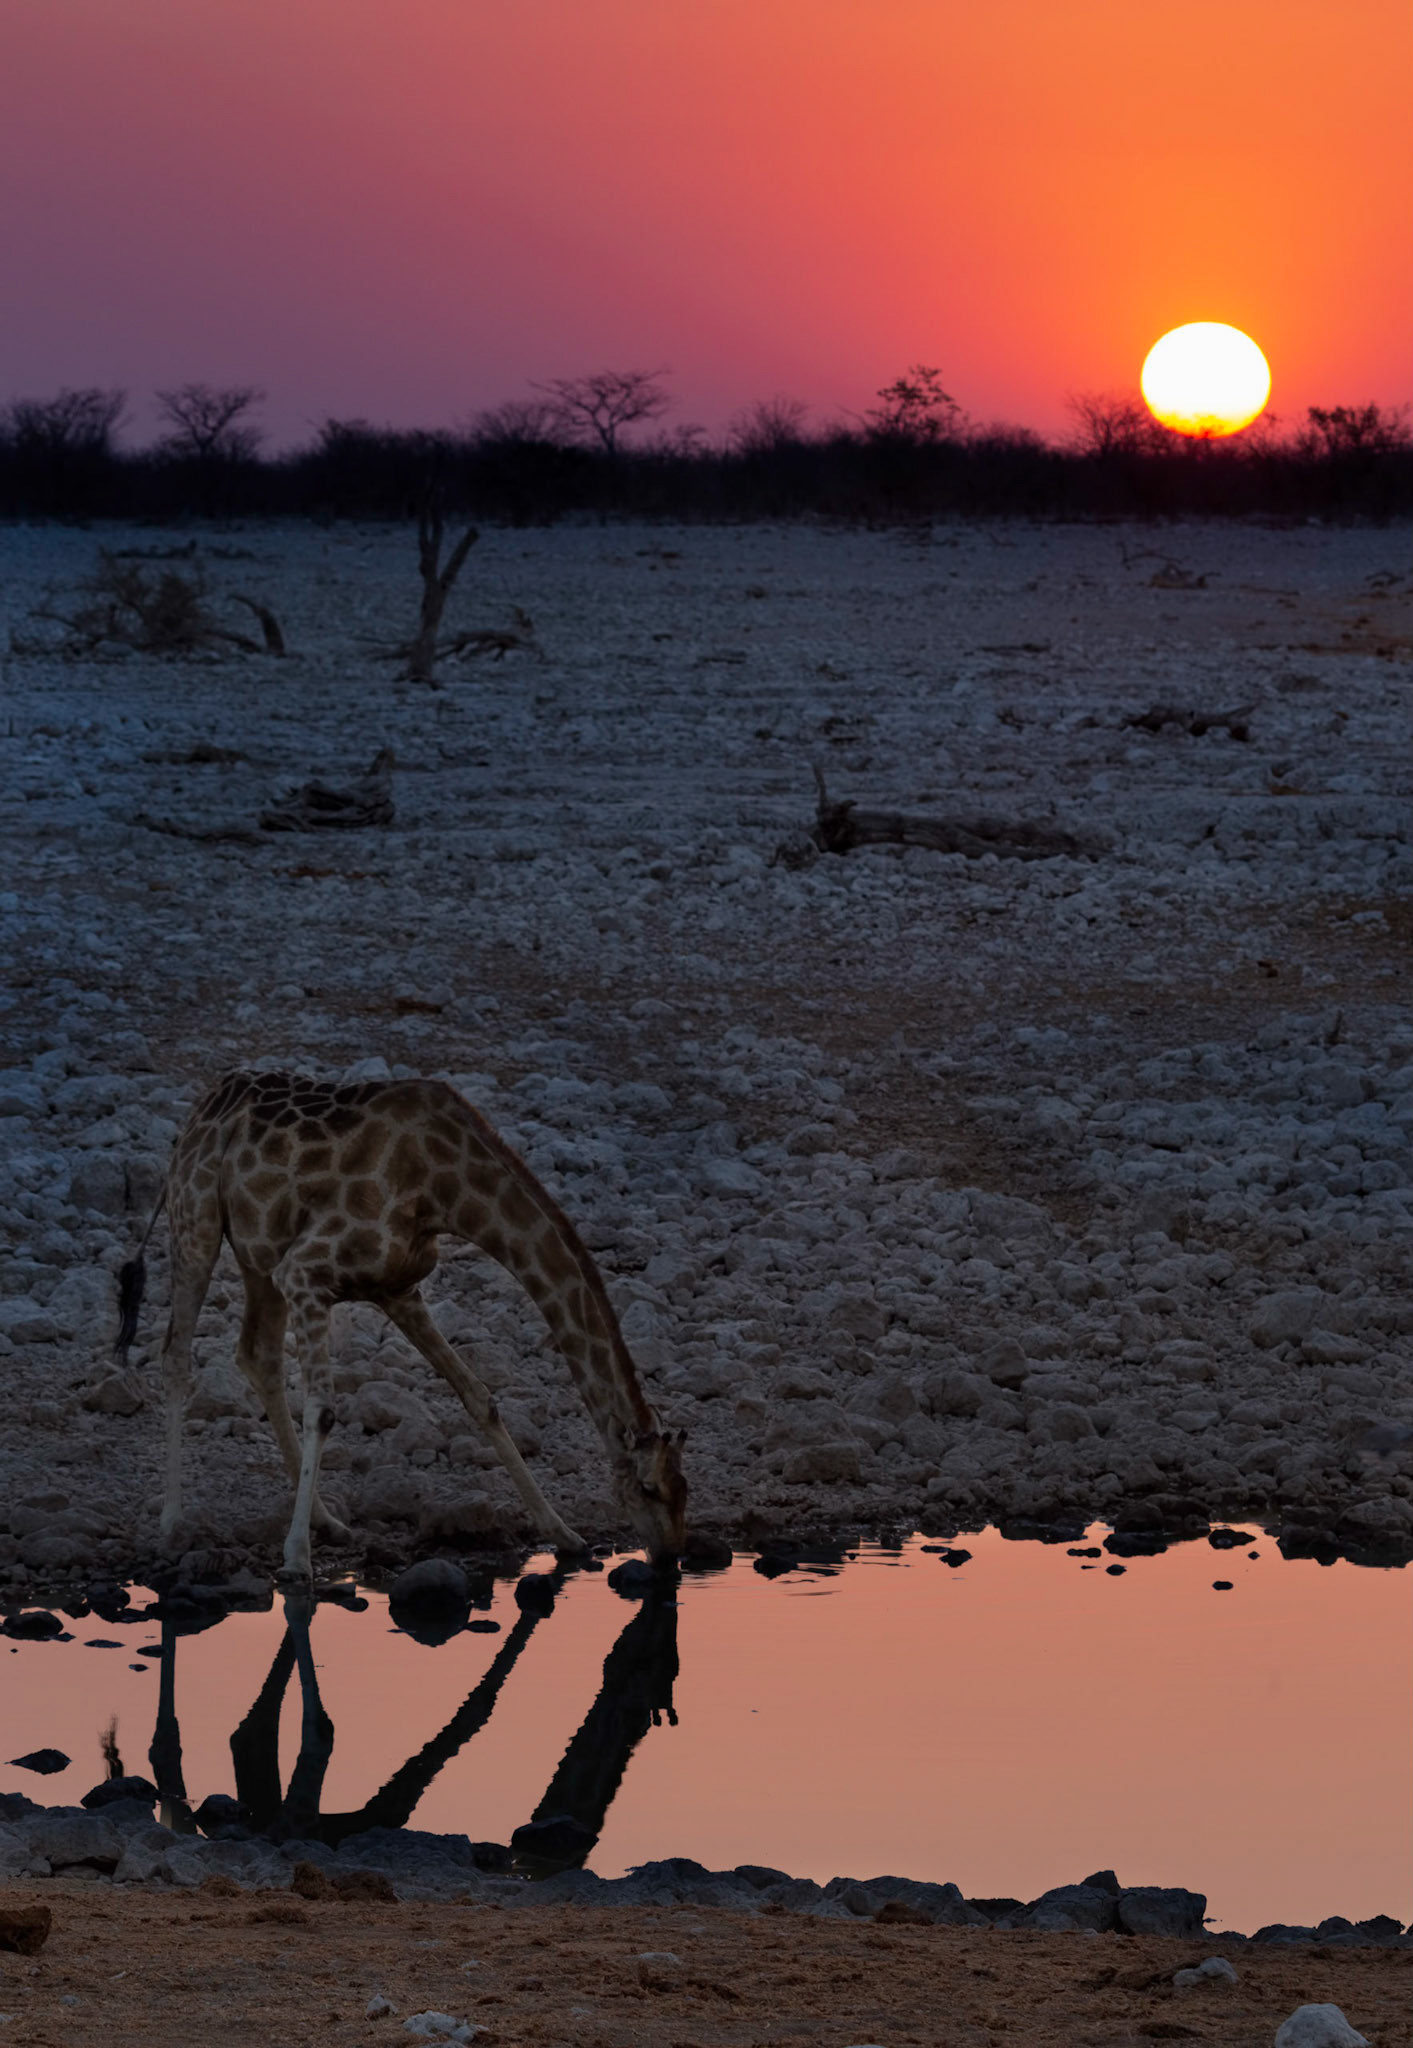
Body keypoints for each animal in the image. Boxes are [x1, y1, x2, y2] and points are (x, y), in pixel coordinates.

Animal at [115, 1069, 688, 1578]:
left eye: (684, 1489)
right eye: (647, 1487)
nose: (669, 1558)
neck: (446, 1190)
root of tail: (198, 1113)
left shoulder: (396, 1288)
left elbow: (481, 1397)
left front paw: (564, 1534)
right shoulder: (306, 1271)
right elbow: (323, 1410)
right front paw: (296, 1561)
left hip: (258, 1253)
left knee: (257, 1355)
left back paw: (328, 1520)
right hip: (197, 1222)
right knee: (176, 1354)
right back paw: (173, 1524)